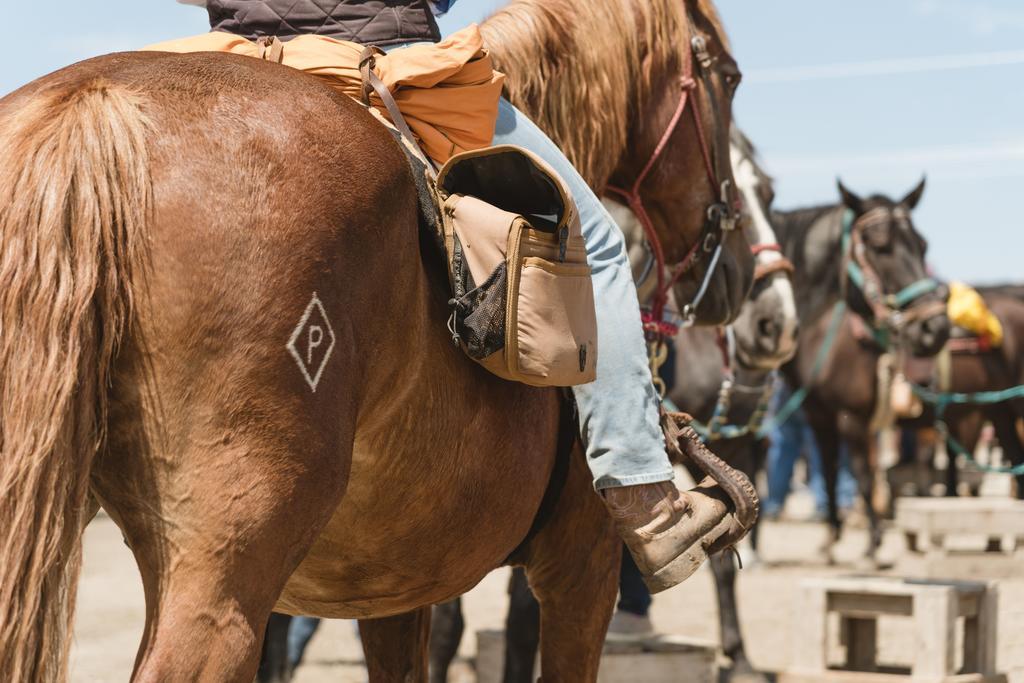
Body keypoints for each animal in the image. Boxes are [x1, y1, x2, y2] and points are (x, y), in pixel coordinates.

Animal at [0, 0, 753, 679]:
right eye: (731, 77)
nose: (737, 275)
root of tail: (94, 107)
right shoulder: (581, 568)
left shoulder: (395, 585)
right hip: (226, 571)